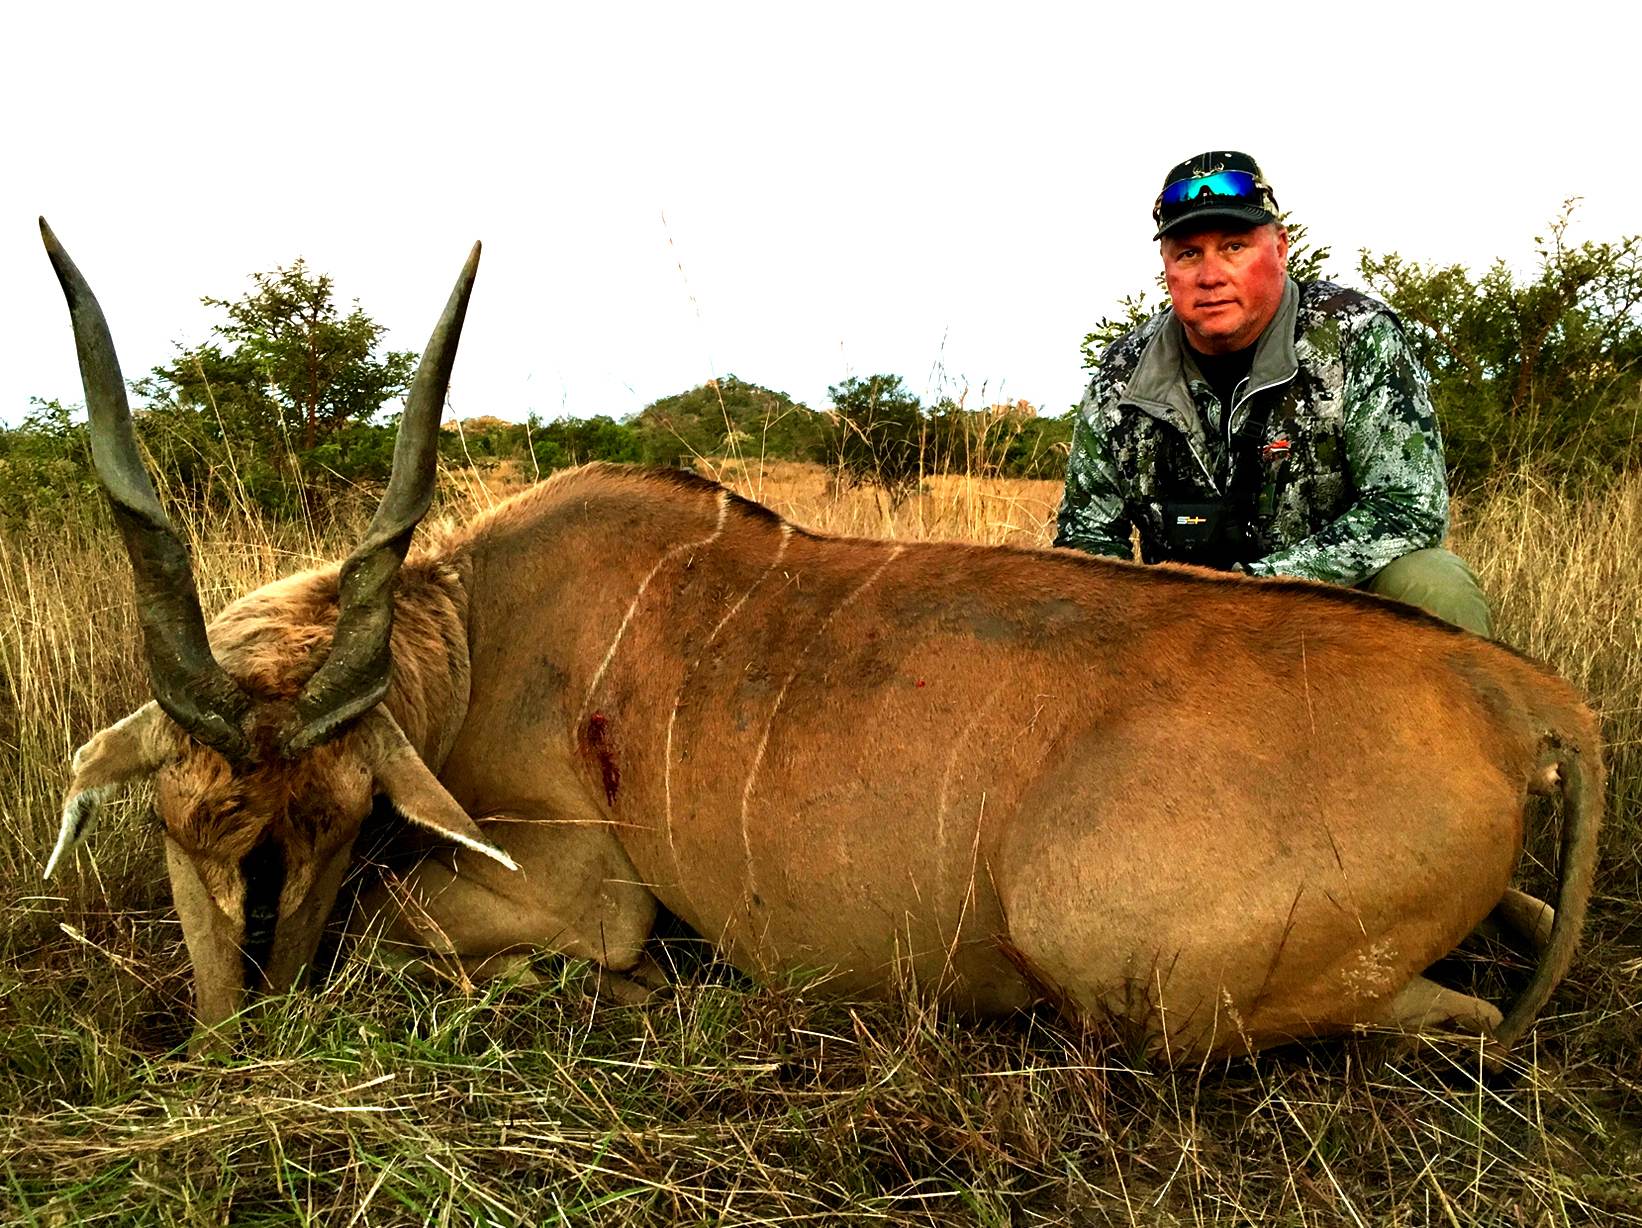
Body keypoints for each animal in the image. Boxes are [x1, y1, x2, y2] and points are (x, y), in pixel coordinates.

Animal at [40, 220, 1603, 1063]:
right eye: (185, 818)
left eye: (340, 811)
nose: (252, 1021)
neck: (477, 625)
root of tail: (1524, 700)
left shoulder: (580, 890)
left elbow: (428, 927)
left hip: (1124, 970)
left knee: (1463, 1020)